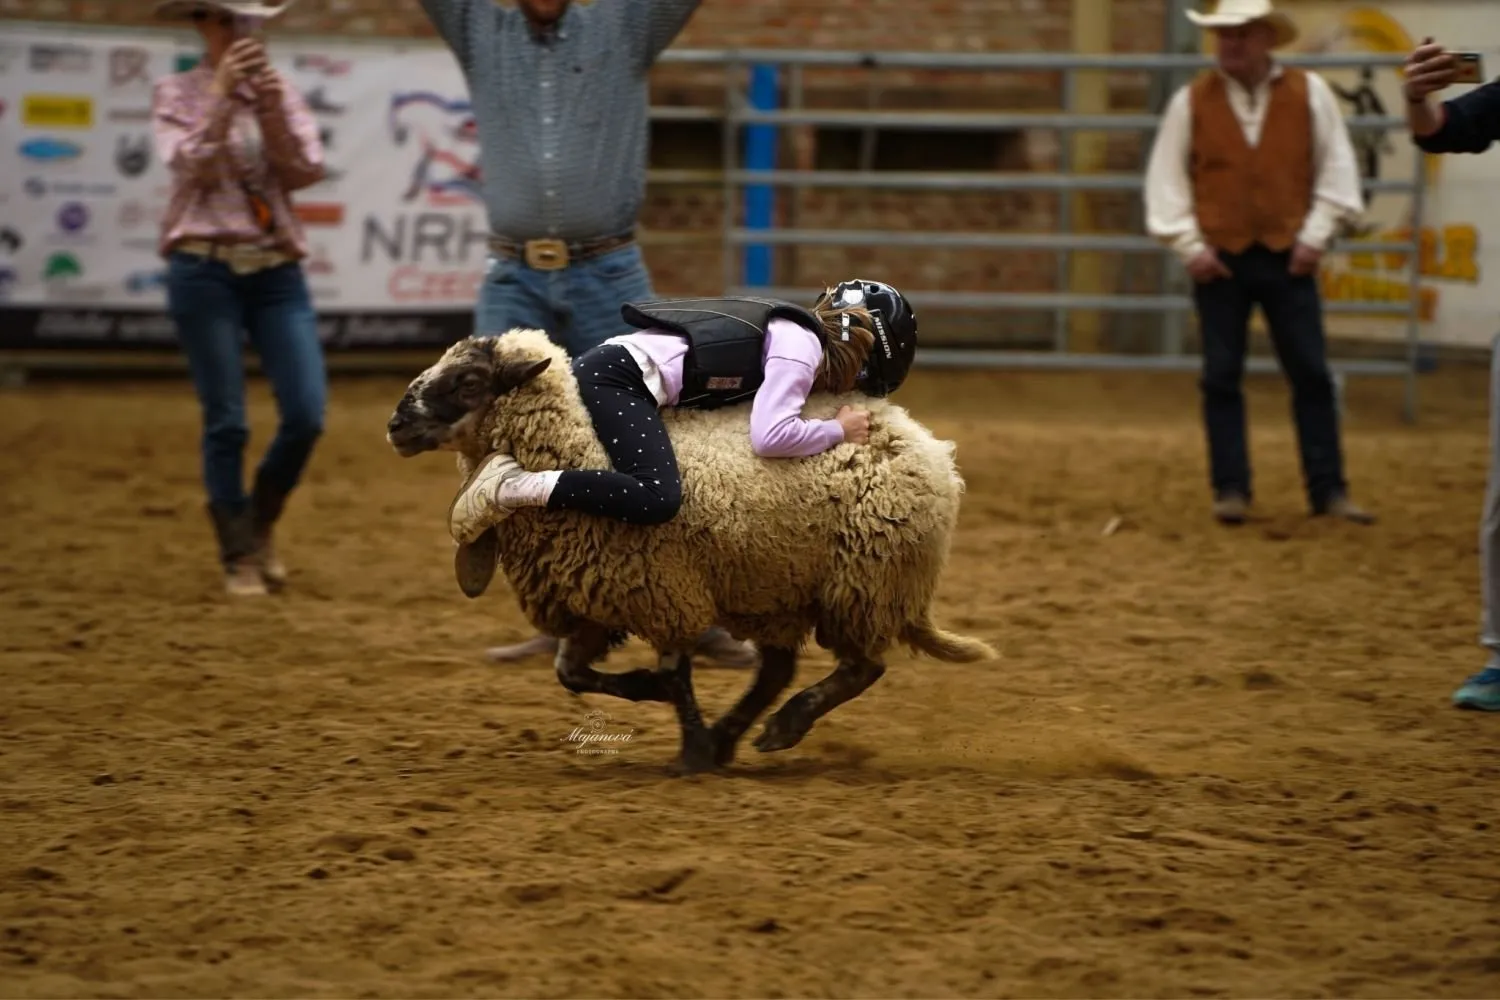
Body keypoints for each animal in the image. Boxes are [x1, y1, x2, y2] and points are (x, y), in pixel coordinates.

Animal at [385, 328, 998, 773]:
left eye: (468, 381)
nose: (396, 424)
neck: (581, 445)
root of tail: (928, 448)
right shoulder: (597, 599)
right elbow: (570, 672)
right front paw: (651, 695)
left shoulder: (664, 587)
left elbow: (675, 674)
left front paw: (690, 750)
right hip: (775, 583)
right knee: (779, 669)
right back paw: (736, 735)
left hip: (863, 581)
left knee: (862, 667)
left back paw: (781, 728)